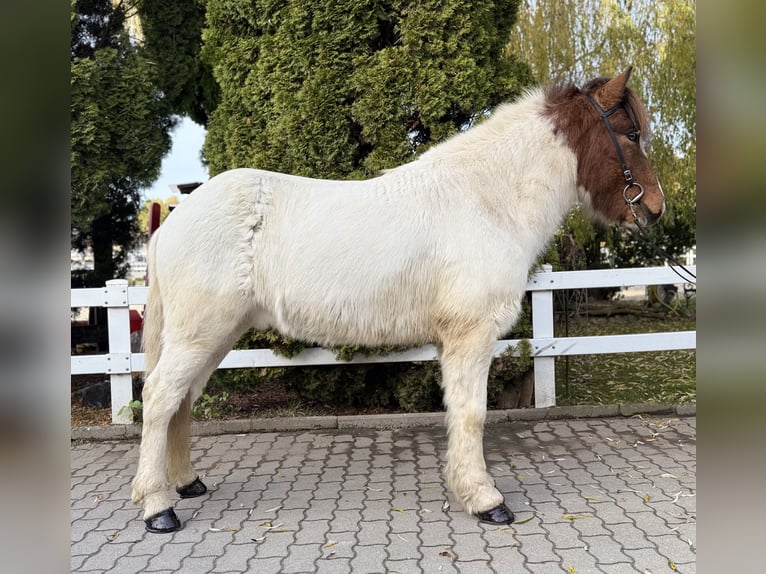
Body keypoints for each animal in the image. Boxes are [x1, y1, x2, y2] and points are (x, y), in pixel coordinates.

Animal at [132, 67, 665, 533]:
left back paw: (186, 483)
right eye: (631, 135)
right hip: (199, 335)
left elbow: (456, 413)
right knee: (159, 398)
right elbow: (472, 413)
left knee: (182, 401)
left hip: (214, 336)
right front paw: (486, 500)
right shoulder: (472, 336)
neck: (485, 199)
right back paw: (158, 507)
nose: (656, 210)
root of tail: (175, 217)